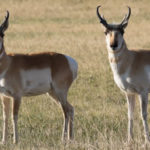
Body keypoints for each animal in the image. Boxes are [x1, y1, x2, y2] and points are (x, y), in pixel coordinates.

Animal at [0, 11, 77, 144]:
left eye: (2, 33)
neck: (8, 63)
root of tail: (68, 60)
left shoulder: (17, 96)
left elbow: (14, 116)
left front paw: (15, 141)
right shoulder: (4, 96)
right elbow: (5, 117)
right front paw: (4, 141)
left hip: (60, 93)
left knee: (66, 112)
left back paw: (63, 139)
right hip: (52, 93)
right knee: (71, 109)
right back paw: (70, 138)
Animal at [96, 5, 150, 144]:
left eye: (122, 31)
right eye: (106, 31)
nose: (113, 45)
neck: (132, 59)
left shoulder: (143, 92)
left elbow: (143, 114)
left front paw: (146, 141)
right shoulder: (129, 93)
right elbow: (130, 114)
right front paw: (129, 140)